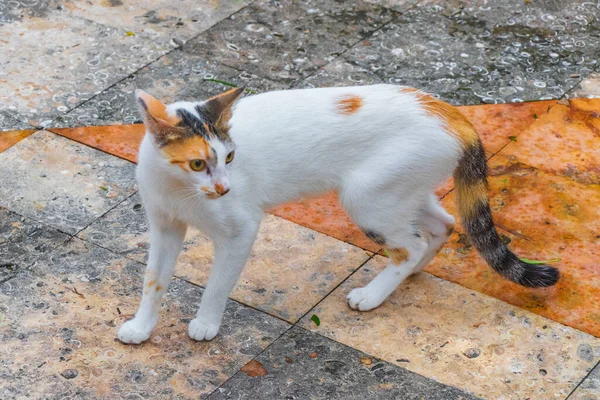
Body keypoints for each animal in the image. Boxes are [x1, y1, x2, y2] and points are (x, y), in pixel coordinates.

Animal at [118, 84, 564, 344]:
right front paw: (142, 327)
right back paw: (414, 271)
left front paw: (206, 324)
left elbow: (216, 284)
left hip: (365, 196)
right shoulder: (164, 227)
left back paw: (374, 293)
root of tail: (453, 112)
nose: (224, 188)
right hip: (398, 191)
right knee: (443, 225)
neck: (180, 190)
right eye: (197, 163)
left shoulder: (240, 230)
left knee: (409, 244)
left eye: (229, 157)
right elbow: (153, 280)